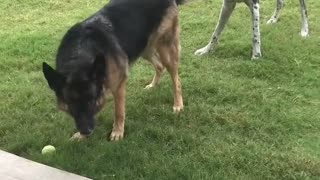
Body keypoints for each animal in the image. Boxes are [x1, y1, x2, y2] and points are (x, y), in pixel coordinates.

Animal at [42, 0, 185, 141]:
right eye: (71, 103)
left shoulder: (118, 86)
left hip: (165, 49)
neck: (79, 56)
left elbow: (119, 112)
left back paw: (178, 104)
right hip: (144, 48)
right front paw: (80, 136)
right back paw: (153, 85)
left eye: (91, 101)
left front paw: (117, 132)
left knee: (176, 80)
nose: (86, 131)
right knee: (160, 66)